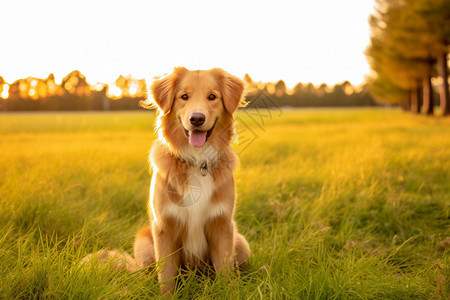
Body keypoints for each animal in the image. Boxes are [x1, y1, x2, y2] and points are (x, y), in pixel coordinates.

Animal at [135, 67, 251, 296]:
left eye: (212, 97)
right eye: (184, 96)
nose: (197, 118)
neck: (198, 162)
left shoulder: (222, 225)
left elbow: (225, 274)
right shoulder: (164, 228)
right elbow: (166, 279)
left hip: (241, 243)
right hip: (143, 245)